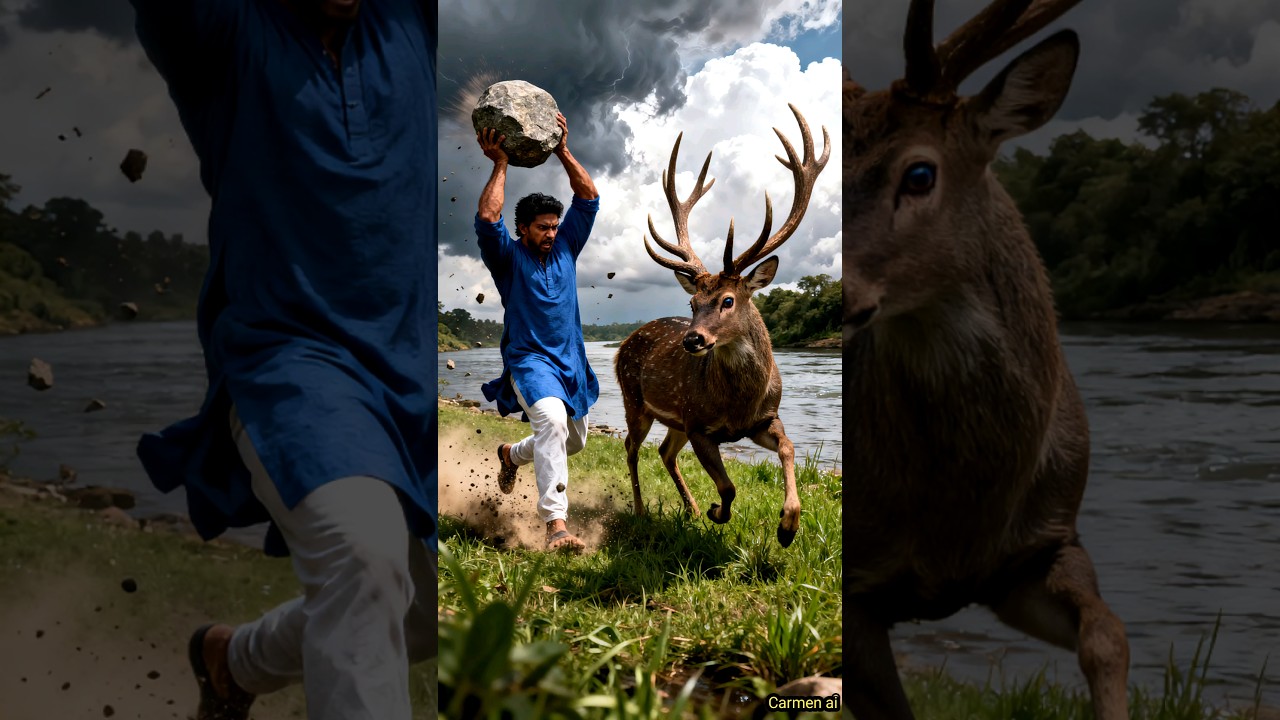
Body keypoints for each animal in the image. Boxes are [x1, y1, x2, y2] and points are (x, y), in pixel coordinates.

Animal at [613, 104, 830, 548]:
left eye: (728, 300)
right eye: (692, 303)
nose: (692, 340)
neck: (738, 403)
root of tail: (623, 344)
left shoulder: (764, 419)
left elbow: (789, 448)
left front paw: (788, 527)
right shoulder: (698, 423)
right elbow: (729, 486)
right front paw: (719, 512)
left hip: (672, 418)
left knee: (663, 451)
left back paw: (692, 508)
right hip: (634, 400)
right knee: (631, 446)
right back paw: (644, 510)